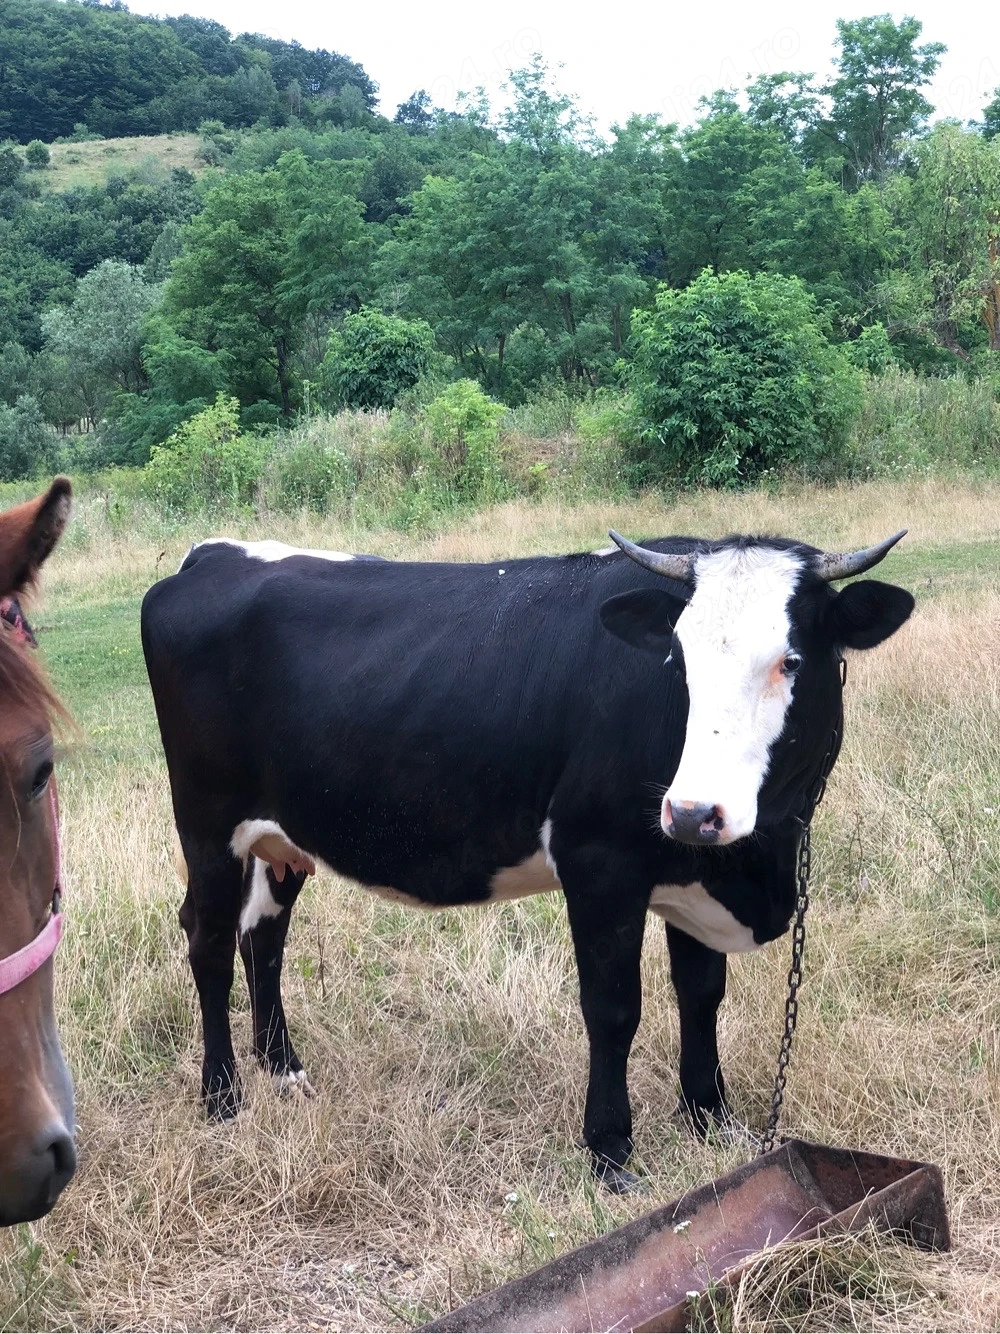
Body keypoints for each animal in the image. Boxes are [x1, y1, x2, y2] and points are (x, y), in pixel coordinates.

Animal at [141, 527, 914, 1190]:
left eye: (791, 660)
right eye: (680, 663)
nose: (695, 812)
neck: (758, 864)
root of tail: (212, 555)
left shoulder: (693, 875)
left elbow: (700, 995)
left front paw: (710, 1120)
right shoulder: (598, 864)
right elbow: (613, 1008)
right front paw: (610, 1151)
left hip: (281, 838)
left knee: (263, 938)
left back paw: (283, 1070)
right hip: (207, 826)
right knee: (208, 941)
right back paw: (223, 1096)